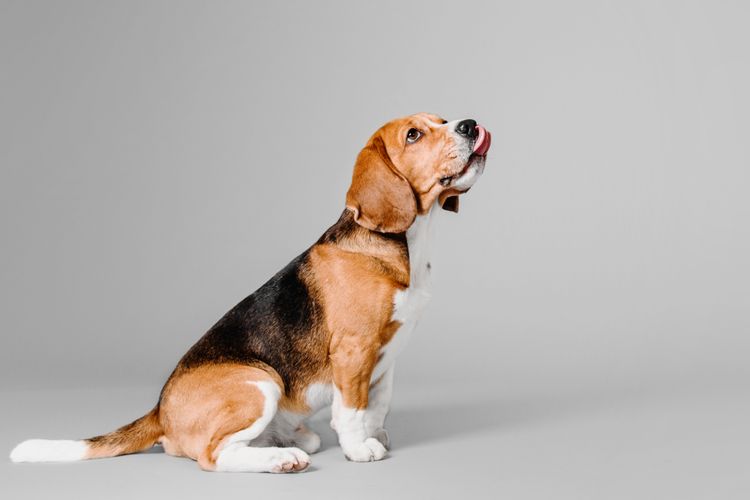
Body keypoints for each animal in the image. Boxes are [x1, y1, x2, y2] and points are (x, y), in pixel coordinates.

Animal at [13, 112, 494, 472]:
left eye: (443, 120)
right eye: (414, 134)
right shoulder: (355, 350)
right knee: (210, 457)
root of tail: (159, 411)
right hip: (260, 382)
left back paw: (282, 443)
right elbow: (352, 409)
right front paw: (360, 448)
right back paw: (282, 460)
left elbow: (377, 405)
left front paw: (376, 436)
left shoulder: (387, 355)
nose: (470, 124)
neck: (407, 242)